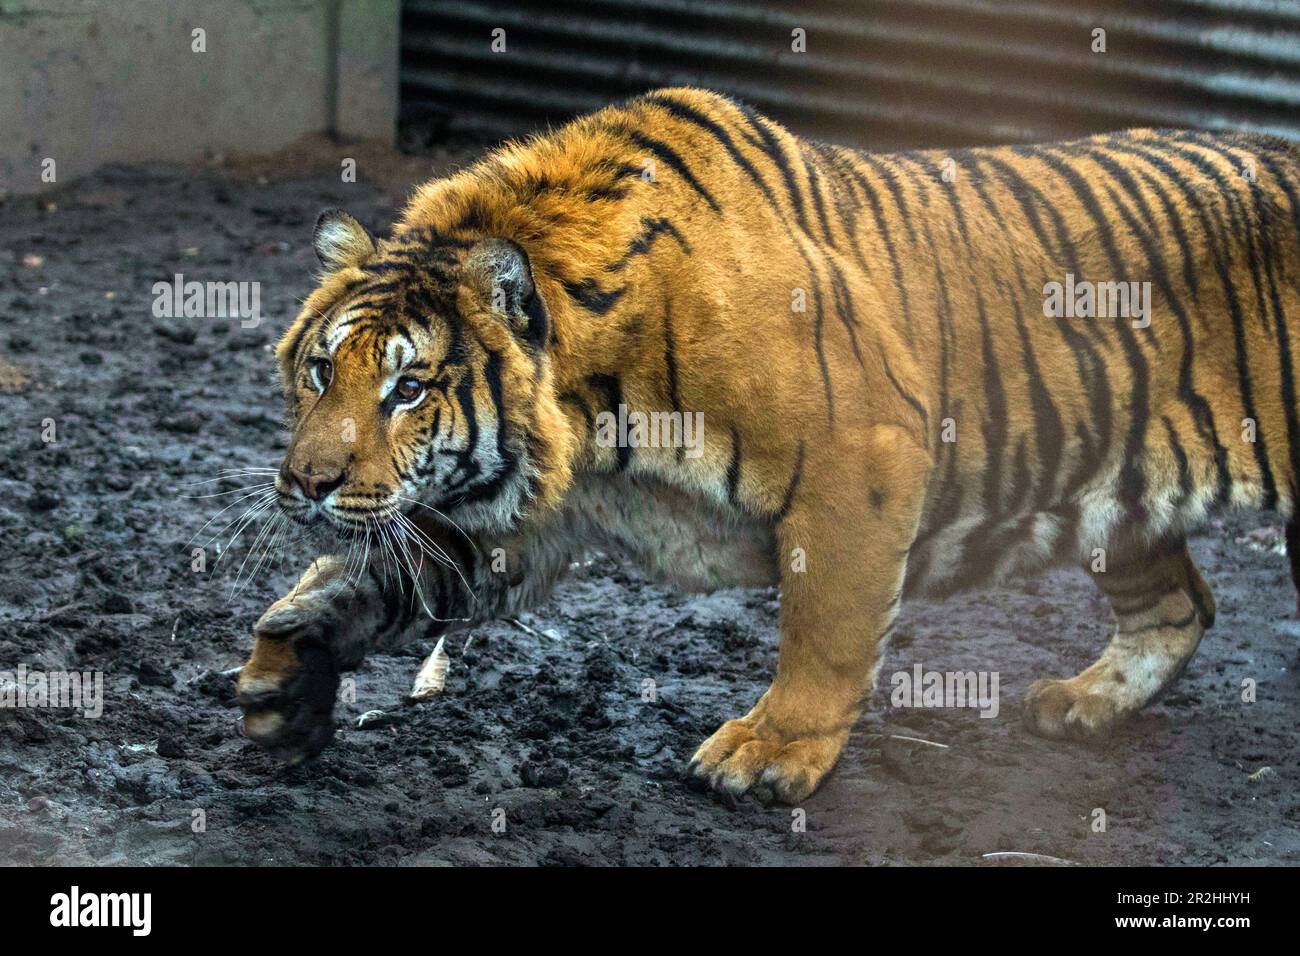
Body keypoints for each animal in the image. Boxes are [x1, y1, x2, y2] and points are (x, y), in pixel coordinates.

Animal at [236, 89, 1300, 806]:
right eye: (321, 372)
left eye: (409, 388)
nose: (305, 483)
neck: (592, 422)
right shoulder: (523, 528)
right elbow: (370, 579)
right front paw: (289, 667)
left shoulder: (862, 461)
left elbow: (824, 629)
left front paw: (771, 753)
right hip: (1124, 496)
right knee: (1183, 606)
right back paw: (1081, 705)